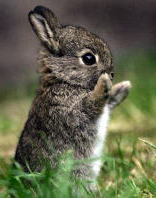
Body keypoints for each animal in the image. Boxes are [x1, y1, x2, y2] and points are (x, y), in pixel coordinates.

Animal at [14, 5, 132, 183]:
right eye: (89, 58)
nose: (111, 74)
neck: (63, 80)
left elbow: (108, 102)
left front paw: (123, 87)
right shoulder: (71, 112)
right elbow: (92, 103)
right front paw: (104, 82)